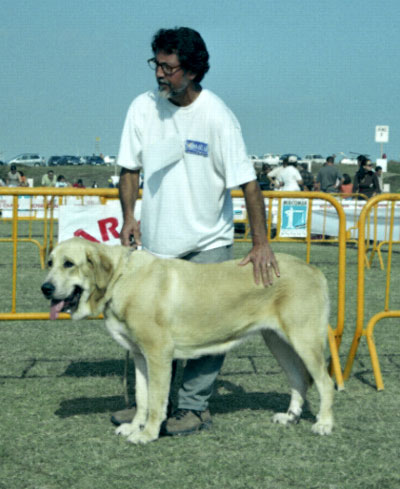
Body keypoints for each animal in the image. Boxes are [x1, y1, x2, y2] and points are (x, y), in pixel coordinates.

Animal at [41, 236, 334, 442]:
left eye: (69, 264)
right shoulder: (140, 356)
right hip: (278, 342)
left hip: (304, 340)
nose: (45, 288)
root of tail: (314, 270)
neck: (120, 278)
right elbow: (142, 397)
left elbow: (156, 401)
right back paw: (290, 417)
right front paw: (134, 426)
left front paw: (147, 434)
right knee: (298, 380)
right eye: (50, 263)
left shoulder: (158, 354)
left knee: (325, 382)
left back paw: (324, 423)